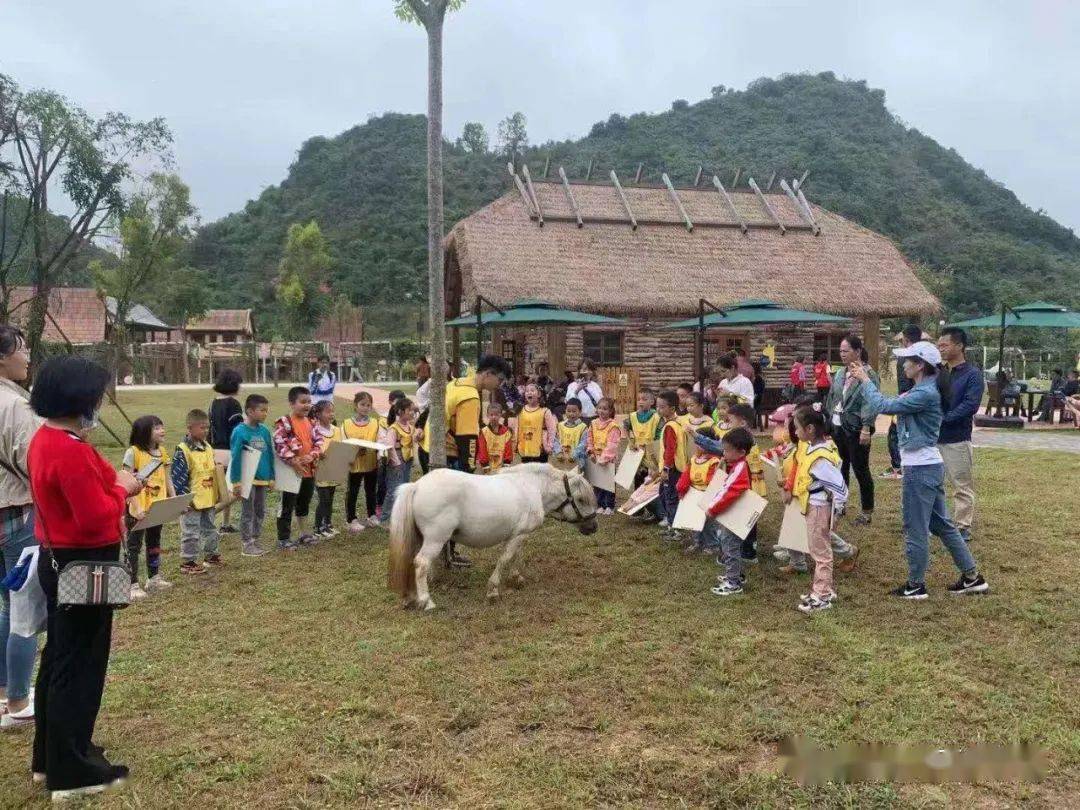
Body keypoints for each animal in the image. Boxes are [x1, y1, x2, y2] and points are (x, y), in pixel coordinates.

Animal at [386, 462, 600, 609]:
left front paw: (516, 578)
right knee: (421, 563)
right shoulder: (518, 535)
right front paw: (493, 590)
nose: (593, 527)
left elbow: (517, 556)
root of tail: (416, 486)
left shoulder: (519, 534)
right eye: (580, 499)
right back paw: (426, 601)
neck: (533, 487)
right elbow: (505, 558)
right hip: (435, 540)